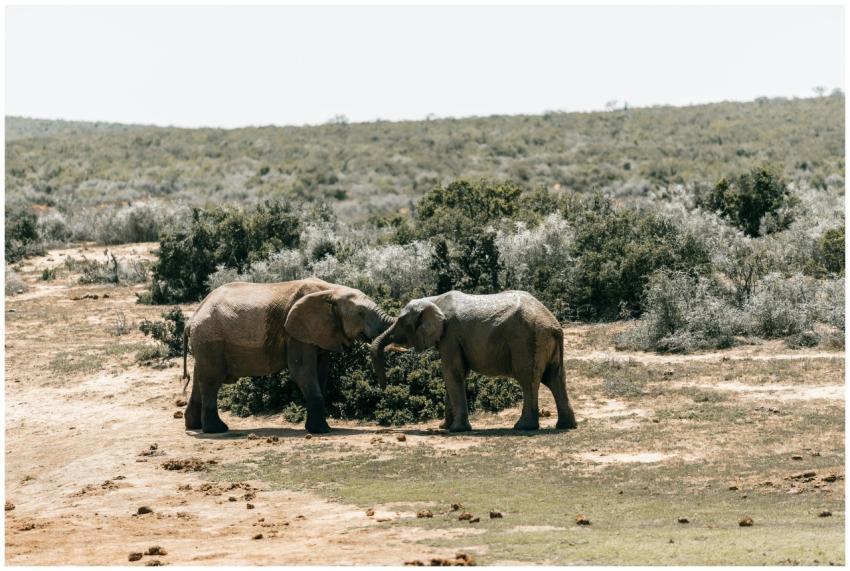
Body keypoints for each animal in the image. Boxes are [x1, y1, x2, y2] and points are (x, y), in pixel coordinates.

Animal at [182, 278, 393, 434]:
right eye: (361, 313)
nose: (382, 388)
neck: (331, 290)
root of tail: (192, 318)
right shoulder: (294, 332)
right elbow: (302, 371)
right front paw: (322, 431)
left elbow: (321, 371)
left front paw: (316, 427)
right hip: (210, 339)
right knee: (211, 380)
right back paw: (217, 430)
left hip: (204, 342)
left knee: (199, 377)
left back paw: (195, 426)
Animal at [370, 290, 578, 432]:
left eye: (402, 323)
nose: (384, 388)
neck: (433, 300)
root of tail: (555, 325)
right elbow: (454, 375)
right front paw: (444, 427)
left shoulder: (450, 336)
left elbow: (452, 372)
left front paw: (456, 430)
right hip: (544, 342)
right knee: (555, 379)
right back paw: (566, 426)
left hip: (527, 341)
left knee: (529, 381)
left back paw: (523, 427)